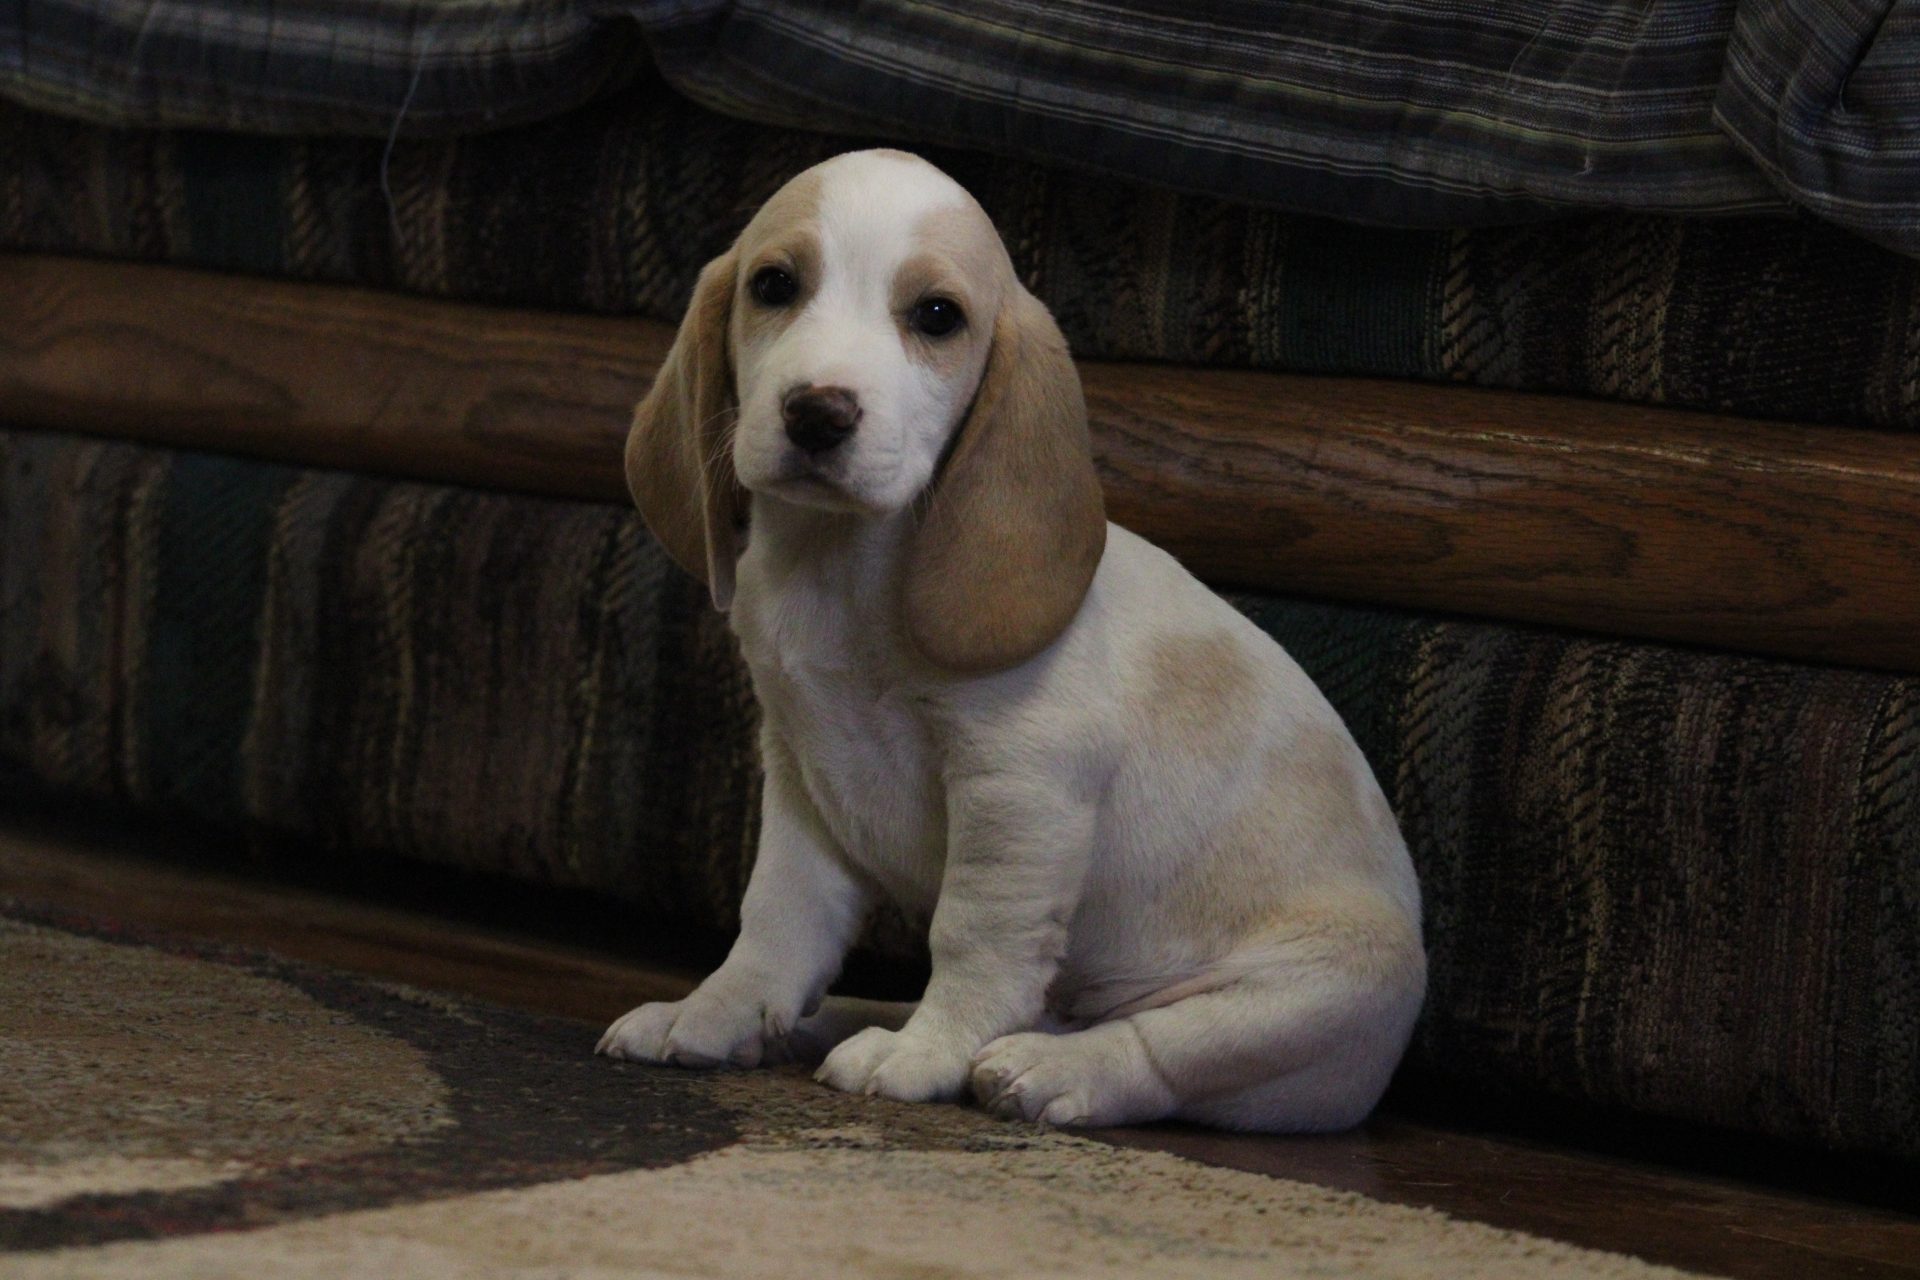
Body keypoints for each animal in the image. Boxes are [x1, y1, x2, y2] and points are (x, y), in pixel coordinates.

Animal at [597, 149, 1425, 1131]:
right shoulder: (803, 780)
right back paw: (825, 1021)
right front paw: (715, 1014)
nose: (818, 413)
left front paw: (926, 1054)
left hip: (1315, 992)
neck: (838, 570)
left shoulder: (1020, 788)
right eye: (773, 286)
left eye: (937, 317)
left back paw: (1046, 1067)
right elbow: (775, 923)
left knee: (1161, 1053)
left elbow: (973, 936)